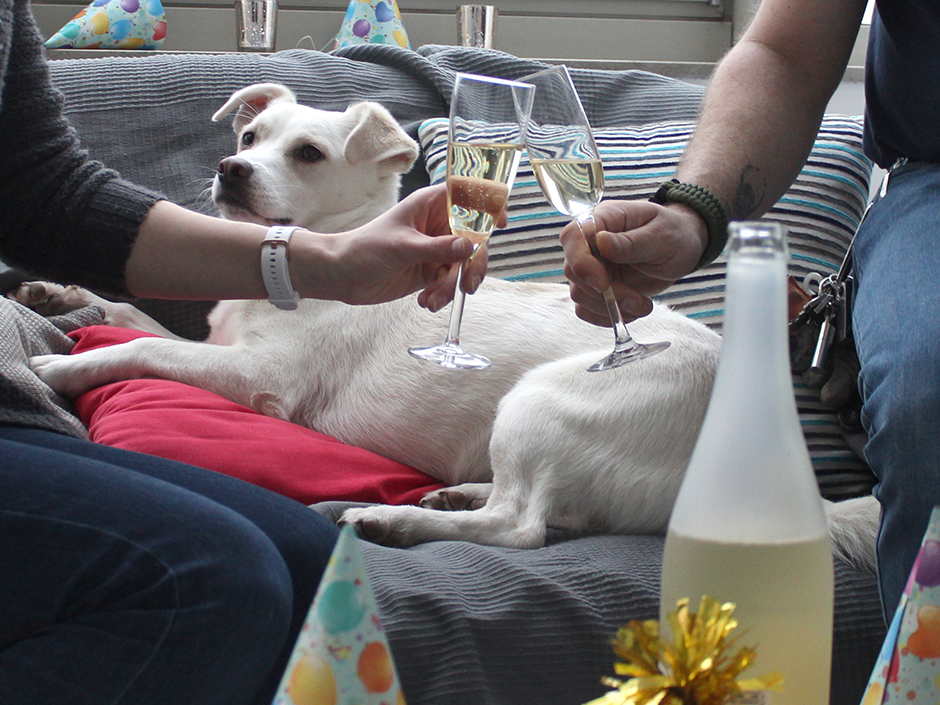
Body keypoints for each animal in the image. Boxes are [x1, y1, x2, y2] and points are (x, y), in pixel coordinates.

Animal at [16, 82, 880, 568]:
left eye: (307, 153)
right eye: (249, 138)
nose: (231, 170)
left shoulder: (262, 378)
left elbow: (145, 344)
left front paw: (58, 367)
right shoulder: (218, 344)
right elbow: (136, 316)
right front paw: (59, 294)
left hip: (539, 402)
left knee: (523, 528)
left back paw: (392, 518)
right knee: (540, 509)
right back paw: (451, 495)